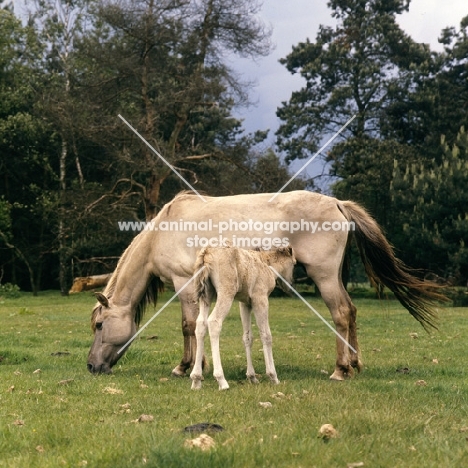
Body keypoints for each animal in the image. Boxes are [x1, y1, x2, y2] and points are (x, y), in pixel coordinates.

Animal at [188, 245, 294, 392]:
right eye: (294, 264)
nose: (291, 285)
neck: (267, 264)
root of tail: (207, 252)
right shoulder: (260, 299)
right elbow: (266, 335)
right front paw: (273, 376)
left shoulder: (245, 303)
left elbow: (247, 337)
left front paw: (252, 377)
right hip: (226, 292)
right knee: (214, 322)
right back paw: (221, 380)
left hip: (206, 295)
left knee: (201, 324)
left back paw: (196, 379)